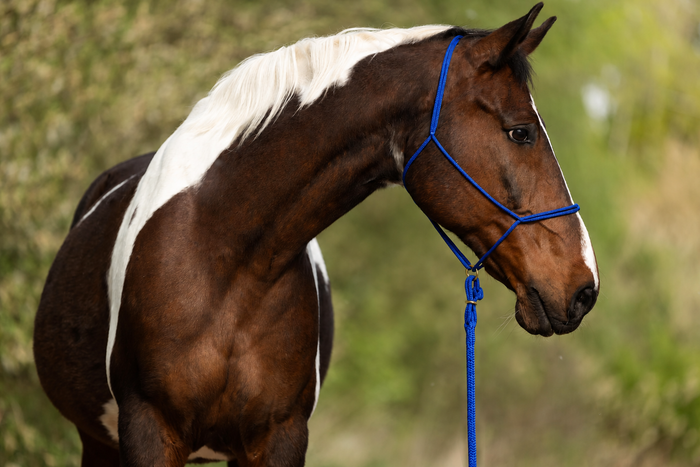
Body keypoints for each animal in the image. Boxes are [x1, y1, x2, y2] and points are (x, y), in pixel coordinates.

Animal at [33, 3, 599, 466]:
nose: (584, 287)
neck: (224, 259)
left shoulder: (279, 438)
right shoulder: (148, 431)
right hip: (98, 443)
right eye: (520, 132)